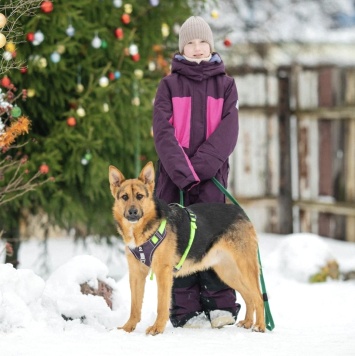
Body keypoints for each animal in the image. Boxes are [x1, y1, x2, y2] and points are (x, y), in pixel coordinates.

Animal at [110, 163, 266, 336]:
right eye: (124, 197)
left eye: (139, 196)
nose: (132, 212)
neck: (143, 230)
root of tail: (239, 210)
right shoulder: (136, 274)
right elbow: (135, 306)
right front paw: (127, 328)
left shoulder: (163, 272)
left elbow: (162, 305)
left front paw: (157, 328)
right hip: (228, 273)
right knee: (249, 296)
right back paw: (247, 322)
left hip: (245, 268)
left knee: (259, 297)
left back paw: (259, 326)